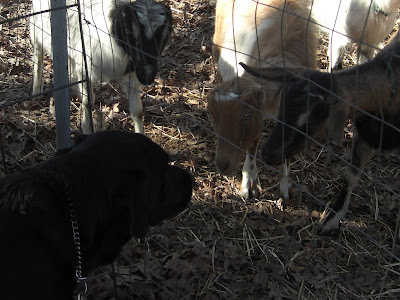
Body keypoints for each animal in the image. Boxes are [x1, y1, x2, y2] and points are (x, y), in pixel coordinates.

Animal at [28, 0, 171, 134]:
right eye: (128, 31)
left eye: (164, 35)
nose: (147, 75)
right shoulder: (84, 69)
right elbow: (88, 101)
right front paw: (87, 129)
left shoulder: (130, 74)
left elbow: (137, 110)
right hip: (36, 27)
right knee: (38, 56)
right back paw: (36, 92)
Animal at [208, 0, 318, 202]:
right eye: (212, 116)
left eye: (247, 116)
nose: (223, 166)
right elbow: (253, 144)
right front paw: (249, 184)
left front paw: (285, 188)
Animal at [241, 32, 400, 234]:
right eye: (281, 108)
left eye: (311, 121)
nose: (268, 155)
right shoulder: (364, 137)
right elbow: (350, 177)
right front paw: (331, 220)